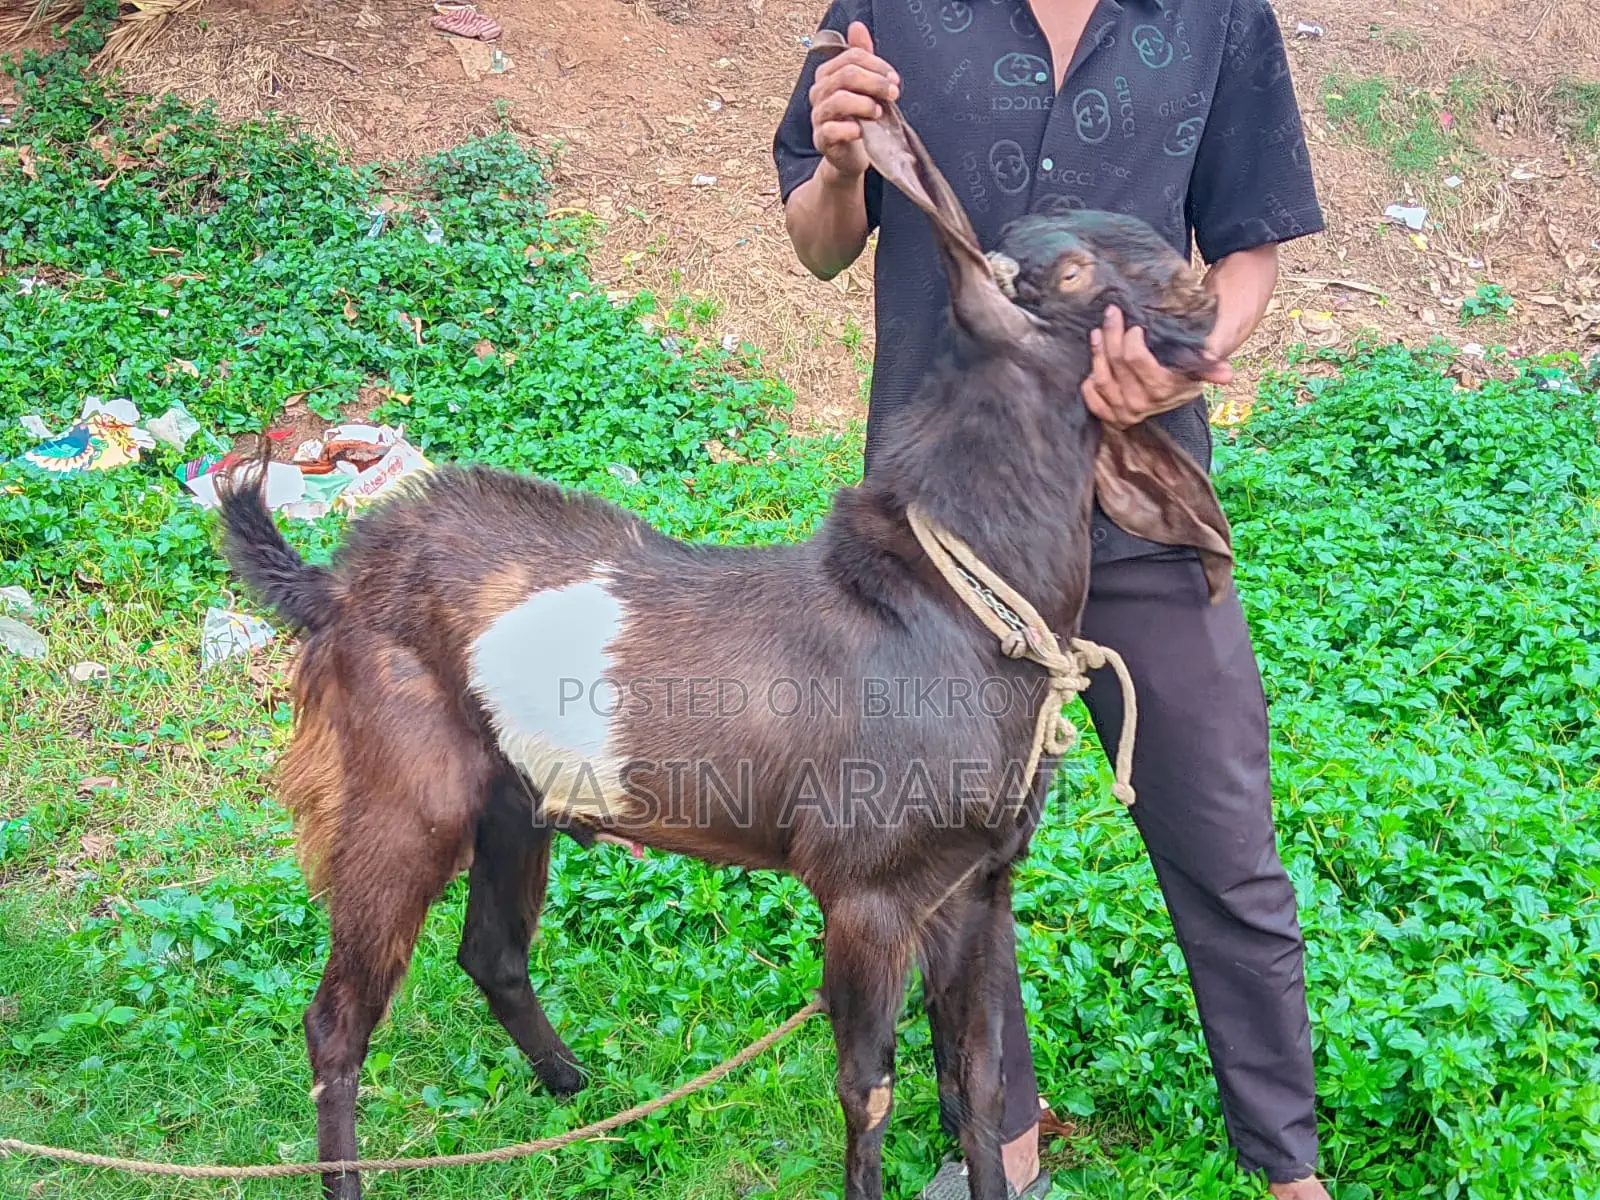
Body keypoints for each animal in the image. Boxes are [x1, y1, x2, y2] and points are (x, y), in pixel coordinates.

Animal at [217, 58, 1233, 1200]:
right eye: (1068, 271)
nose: (1198, 289)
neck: (959, 603)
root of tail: (336, 587)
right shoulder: (867, 892)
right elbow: (869, 1093)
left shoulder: (978, 886)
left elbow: (973, 1083)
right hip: (400, 793)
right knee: (336, 1020)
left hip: (516, 795)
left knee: (490, 952)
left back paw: (576, 1093)